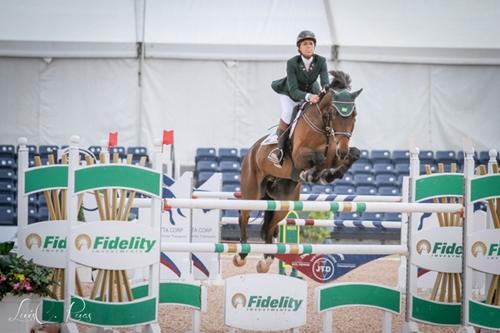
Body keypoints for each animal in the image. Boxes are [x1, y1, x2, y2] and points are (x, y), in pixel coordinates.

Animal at [236, 69, 362, 270]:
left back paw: (266, 260)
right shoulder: (298, 155)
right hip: (252, 193)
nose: (342, 150)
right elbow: (318, 158)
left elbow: (353, 154)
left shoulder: (334, 156)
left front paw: (330, 175)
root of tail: (251, 152)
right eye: (334, 114)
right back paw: (241, 255)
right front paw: (312, 174)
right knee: (244, 217)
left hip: (283, 202)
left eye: (354, 115)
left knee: (270, 225)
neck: (324, 127)